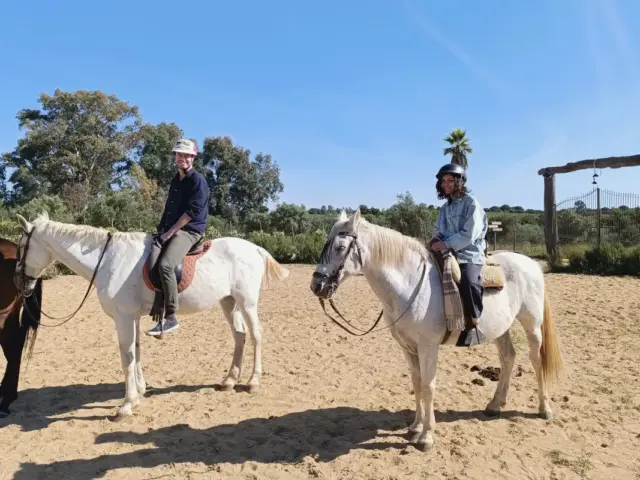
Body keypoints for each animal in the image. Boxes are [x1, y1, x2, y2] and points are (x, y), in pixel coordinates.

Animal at [12, 211, 289, 419]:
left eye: (21, 247)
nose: (19, 282)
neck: (108, 260)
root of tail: (254, 248)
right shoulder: (132, 317)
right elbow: (136, 352)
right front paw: (139, 392)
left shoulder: (123, 318)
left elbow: (126, 357)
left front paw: (126, 405)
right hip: (228, 302)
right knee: (240, 336)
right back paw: (229, 380)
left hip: (247, 302)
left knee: (256, 335)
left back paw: (253, 382)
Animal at [310, 209, 563, 451]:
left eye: (341, 247)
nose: (317, 286)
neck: (410, 285)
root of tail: (530, 263)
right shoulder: (407, 347)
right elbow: (417, 382)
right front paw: (415, 426)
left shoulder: (428, 346)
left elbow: (428, 386)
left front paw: (426, 437)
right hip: (501, 329)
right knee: (508, 357)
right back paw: (494, 405)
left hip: (531, 324)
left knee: (536, 360)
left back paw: (544, 408)